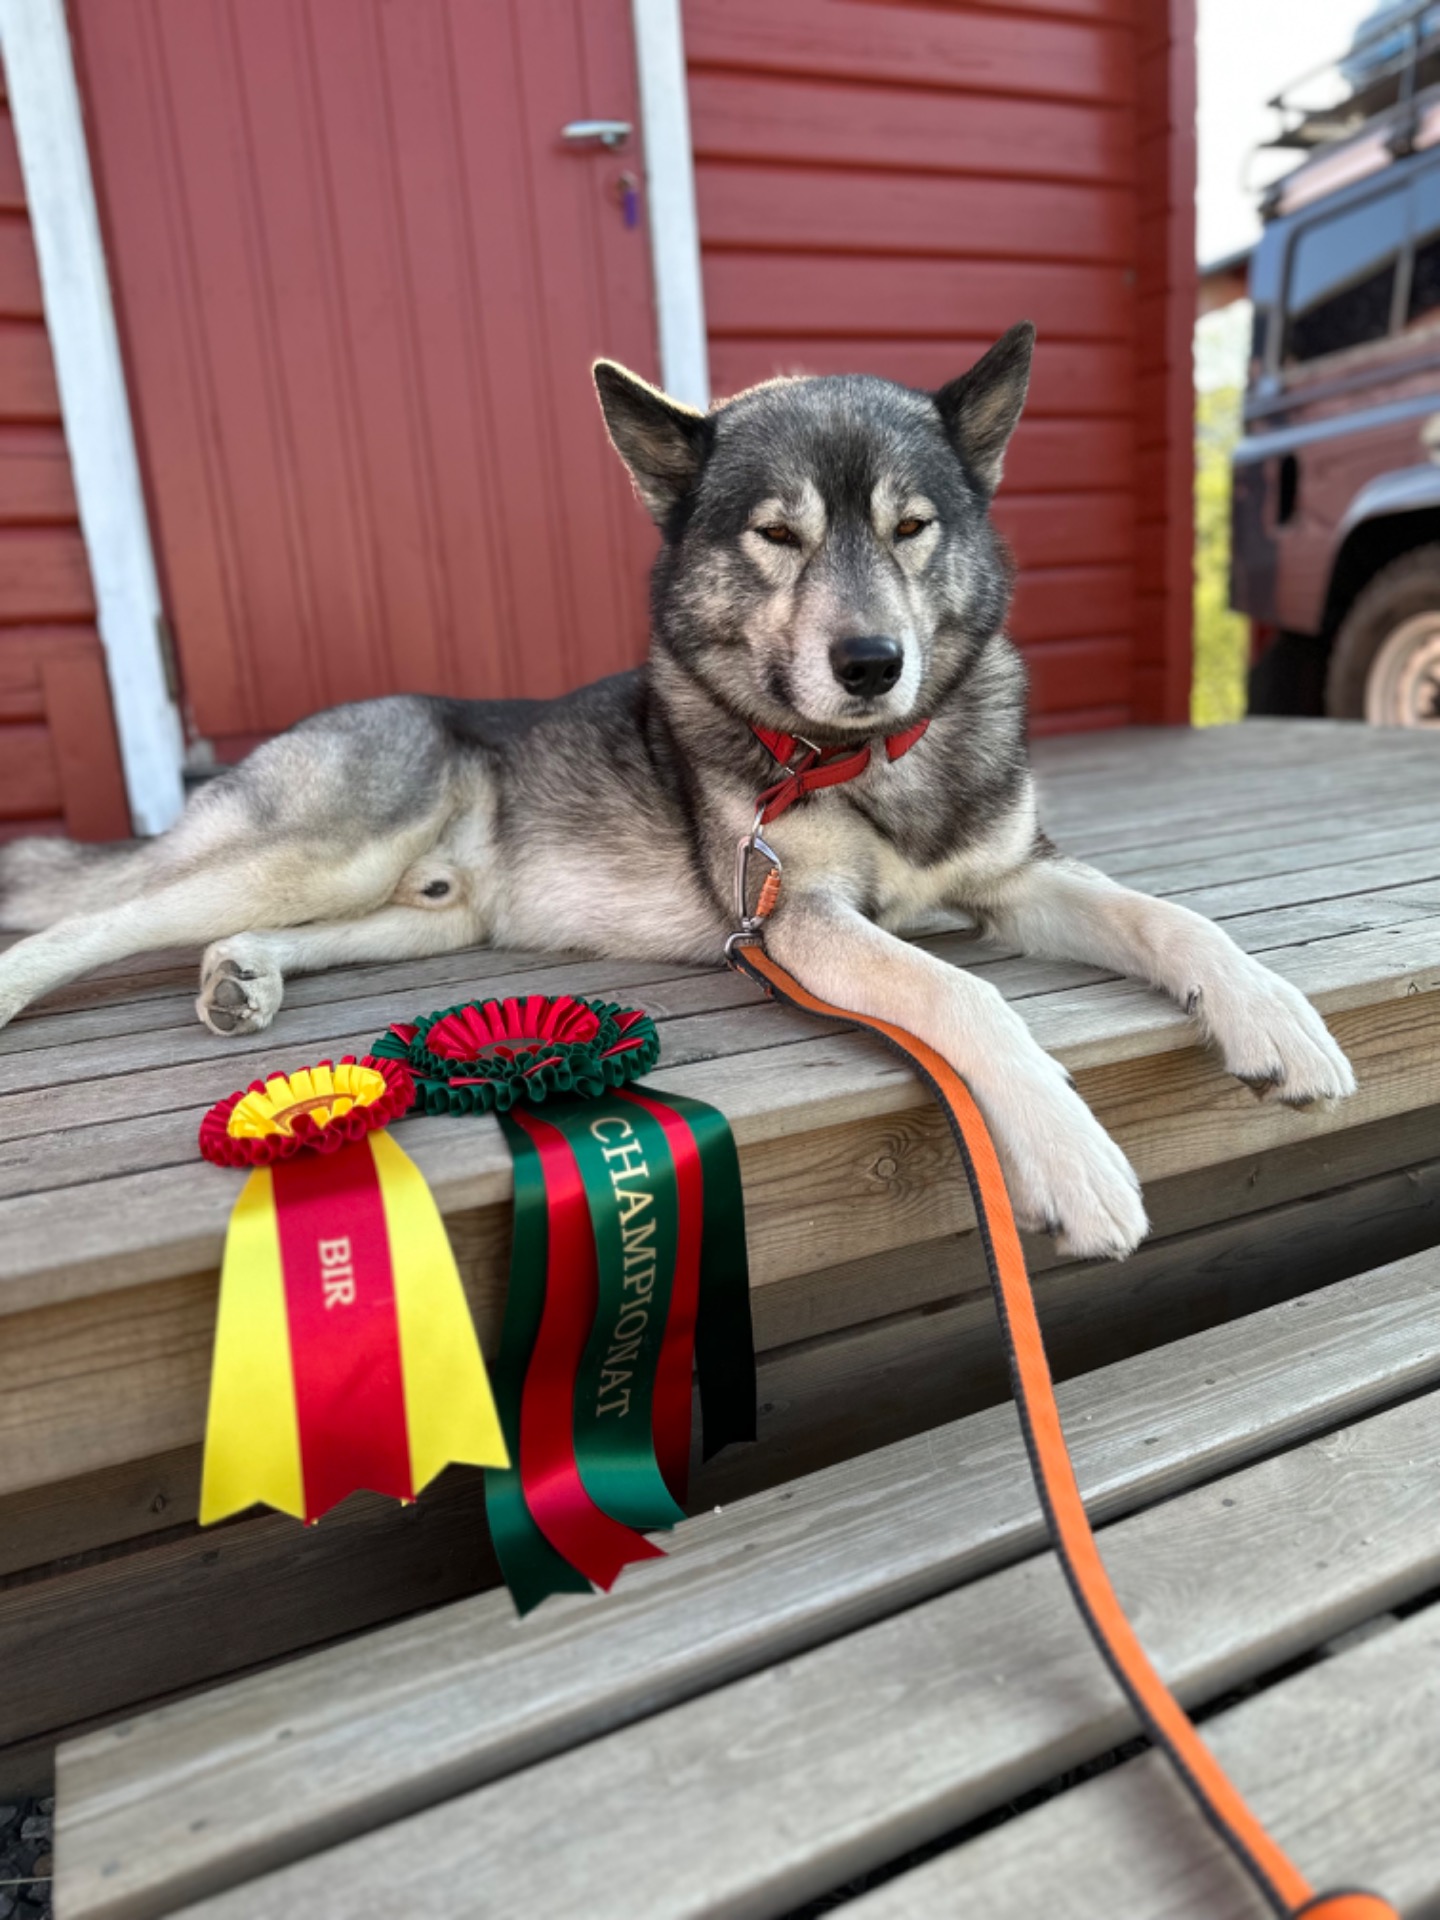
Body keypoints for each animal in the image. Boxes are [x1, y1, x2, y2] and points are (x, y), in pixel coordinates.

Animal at [0, 324, 1355, 1257]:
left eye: (912, 525)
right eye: (778, 534)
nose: (874, 662)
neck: (867, 755)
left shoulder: (1016, 878)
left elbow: (1170, 917)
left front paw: (1272, 1015)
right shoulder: (799, 921)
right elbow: (964, 993)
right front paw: (1070, 1155)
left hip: (430, 914)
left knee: (278, 928)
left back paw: (246, 975)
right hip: (329, 839)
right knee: (97, 918)